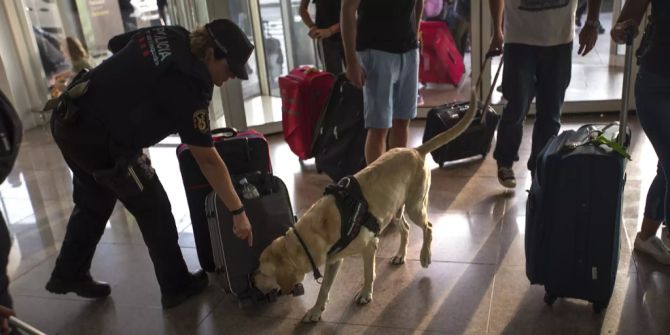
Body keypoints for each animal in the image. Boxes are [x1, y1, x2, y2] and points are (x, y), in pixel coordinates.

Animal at [255, 92, 480, 322]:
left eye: (263, 272)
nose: (253, 283)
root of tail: (415, 150)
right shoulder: (333, 261)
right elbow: (324, 288)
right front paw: (316, 310)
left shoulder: (370, 244)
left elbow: (368, 273)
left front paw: (365, 294)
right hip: (395, 209)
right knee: (406, 229)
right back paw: (401, 255)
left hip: (415, 206)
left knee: (428, 227)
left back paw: (425, 256)